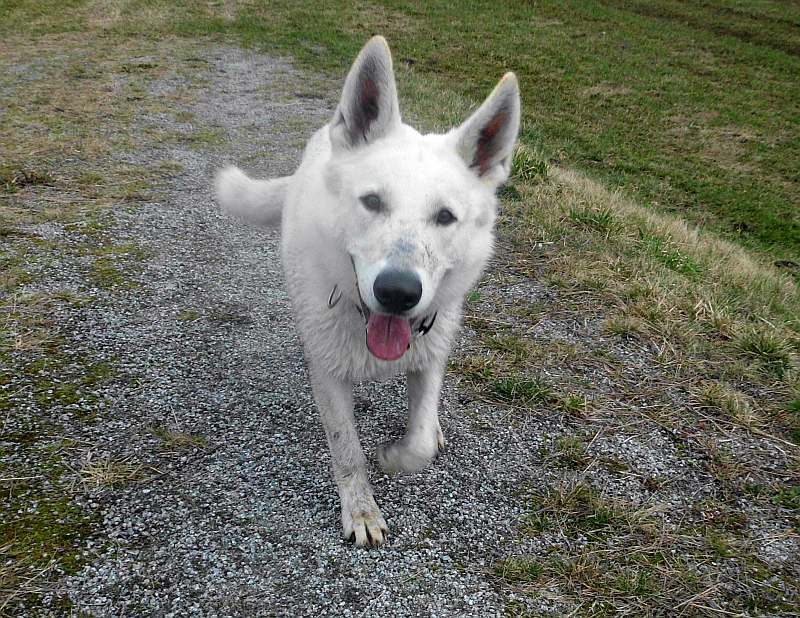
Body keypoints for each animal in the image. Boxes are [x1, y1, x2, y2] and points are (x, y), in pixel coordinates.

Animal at [216, 37, 520, 544]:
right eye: (373, 202)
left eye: (445, 217)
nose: (398, 292)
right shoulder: (329, 376)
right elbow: (347, 451)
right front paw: (360, 510)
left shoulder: (430, 354)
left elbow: (419, 439)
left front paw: (399, 454)